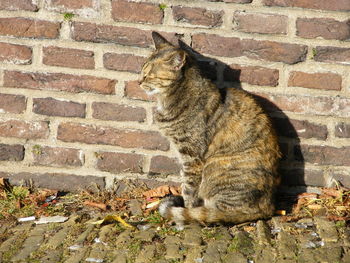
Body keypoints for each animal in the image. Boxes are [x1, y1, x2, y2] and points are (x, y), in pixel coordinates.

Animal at [138, 32, 280, 228]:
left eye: (149, 75)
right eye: (142, 71)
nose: (138, 81)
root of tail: (268, 208)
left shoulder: (192, 157)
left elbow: (189, 190)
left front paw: (185, 216)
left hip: (215, 167)